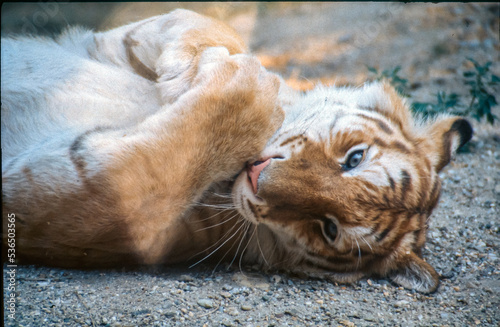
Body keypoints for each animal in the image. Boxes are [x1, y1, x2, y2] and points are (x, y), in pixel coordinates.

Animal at [1, 9, 470, 294]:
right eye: (353, 159)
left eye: (328, 228)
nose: (258, 178)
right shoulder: (109, 43)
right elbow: (204, 24)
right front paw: (196, 70)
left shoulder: (105, 214)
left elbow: (153, 167)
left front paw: (244, 90)